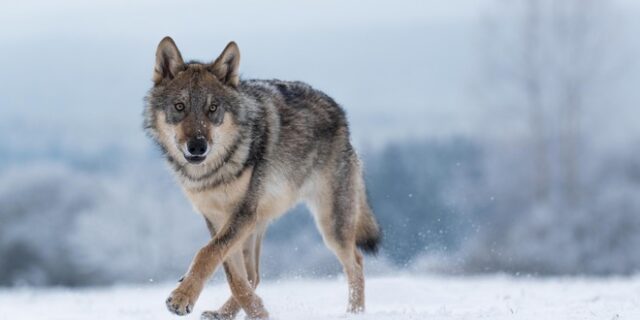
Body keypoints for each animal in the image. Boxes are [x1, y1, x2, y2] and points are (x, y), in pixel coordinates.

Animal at [142, 36, 380, 318]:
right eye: (180, 107)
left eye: (212, 109)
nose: (197, 147)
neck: (213, 173)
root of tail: (341, 113)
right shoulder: (217, 218)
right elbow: (231, 273)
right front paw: (257, 311)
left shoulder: (242, 213)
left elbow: (207, 254)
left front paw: (181, 297)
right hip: (259, 225)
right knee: (254, 275)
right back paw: (224, 313)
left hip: (330, 225)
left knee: (356, 262)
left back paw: (355, 313)